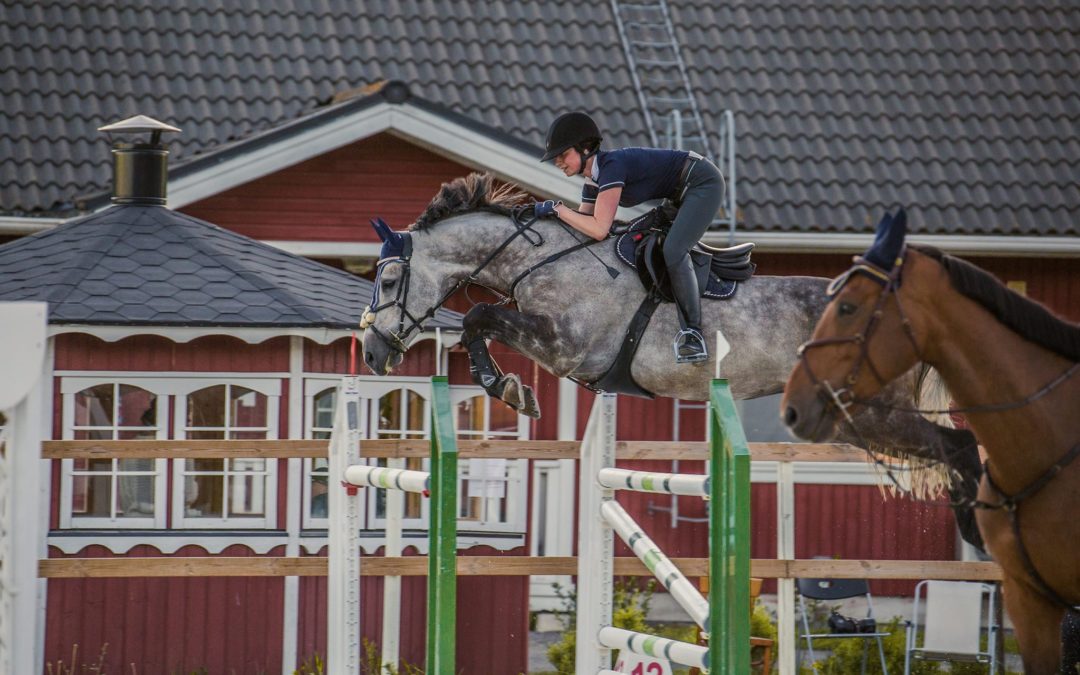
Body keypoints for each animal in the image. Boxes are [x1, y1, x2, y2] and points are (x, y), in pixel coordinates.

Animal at [360, 173, 985, 547]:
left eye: (388, 279)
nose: (369, 352)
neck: (547, 259)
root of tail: (900, 316)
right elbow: (480, 321)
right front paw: (507, 387)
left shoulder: (564, 346)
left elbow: (479, 317)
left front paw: (507, 388)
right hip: (855, 418)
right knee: (952, 447)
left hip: (873, 410)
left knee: (960, 445)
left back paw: (981, 535)